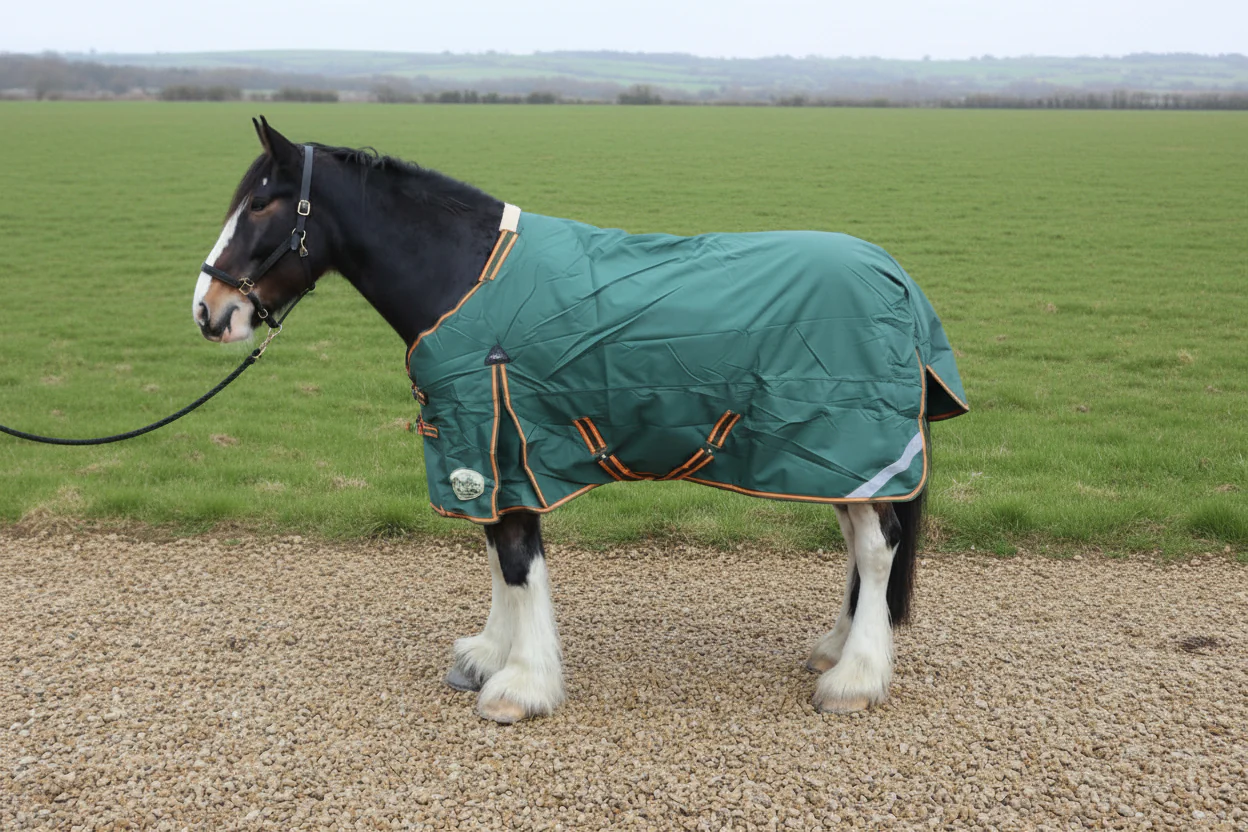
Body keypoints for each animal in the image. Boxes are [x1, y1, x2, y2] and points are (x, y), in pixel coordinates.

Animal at [194, 117, 968, 724]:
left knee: (877, 547)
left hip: (852, 444)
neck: (469, 279)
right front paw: (488, 656)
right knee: (860, 544)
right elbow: (497, 557)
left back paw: (855, 678)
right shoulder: (486, 457)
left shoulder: (501, 443)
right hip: (829, 461)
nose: (209, 311)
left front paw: (521, 685)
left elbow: (516, 561)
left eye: (260, 205)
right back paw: (836, 650)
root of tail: (896, 277)